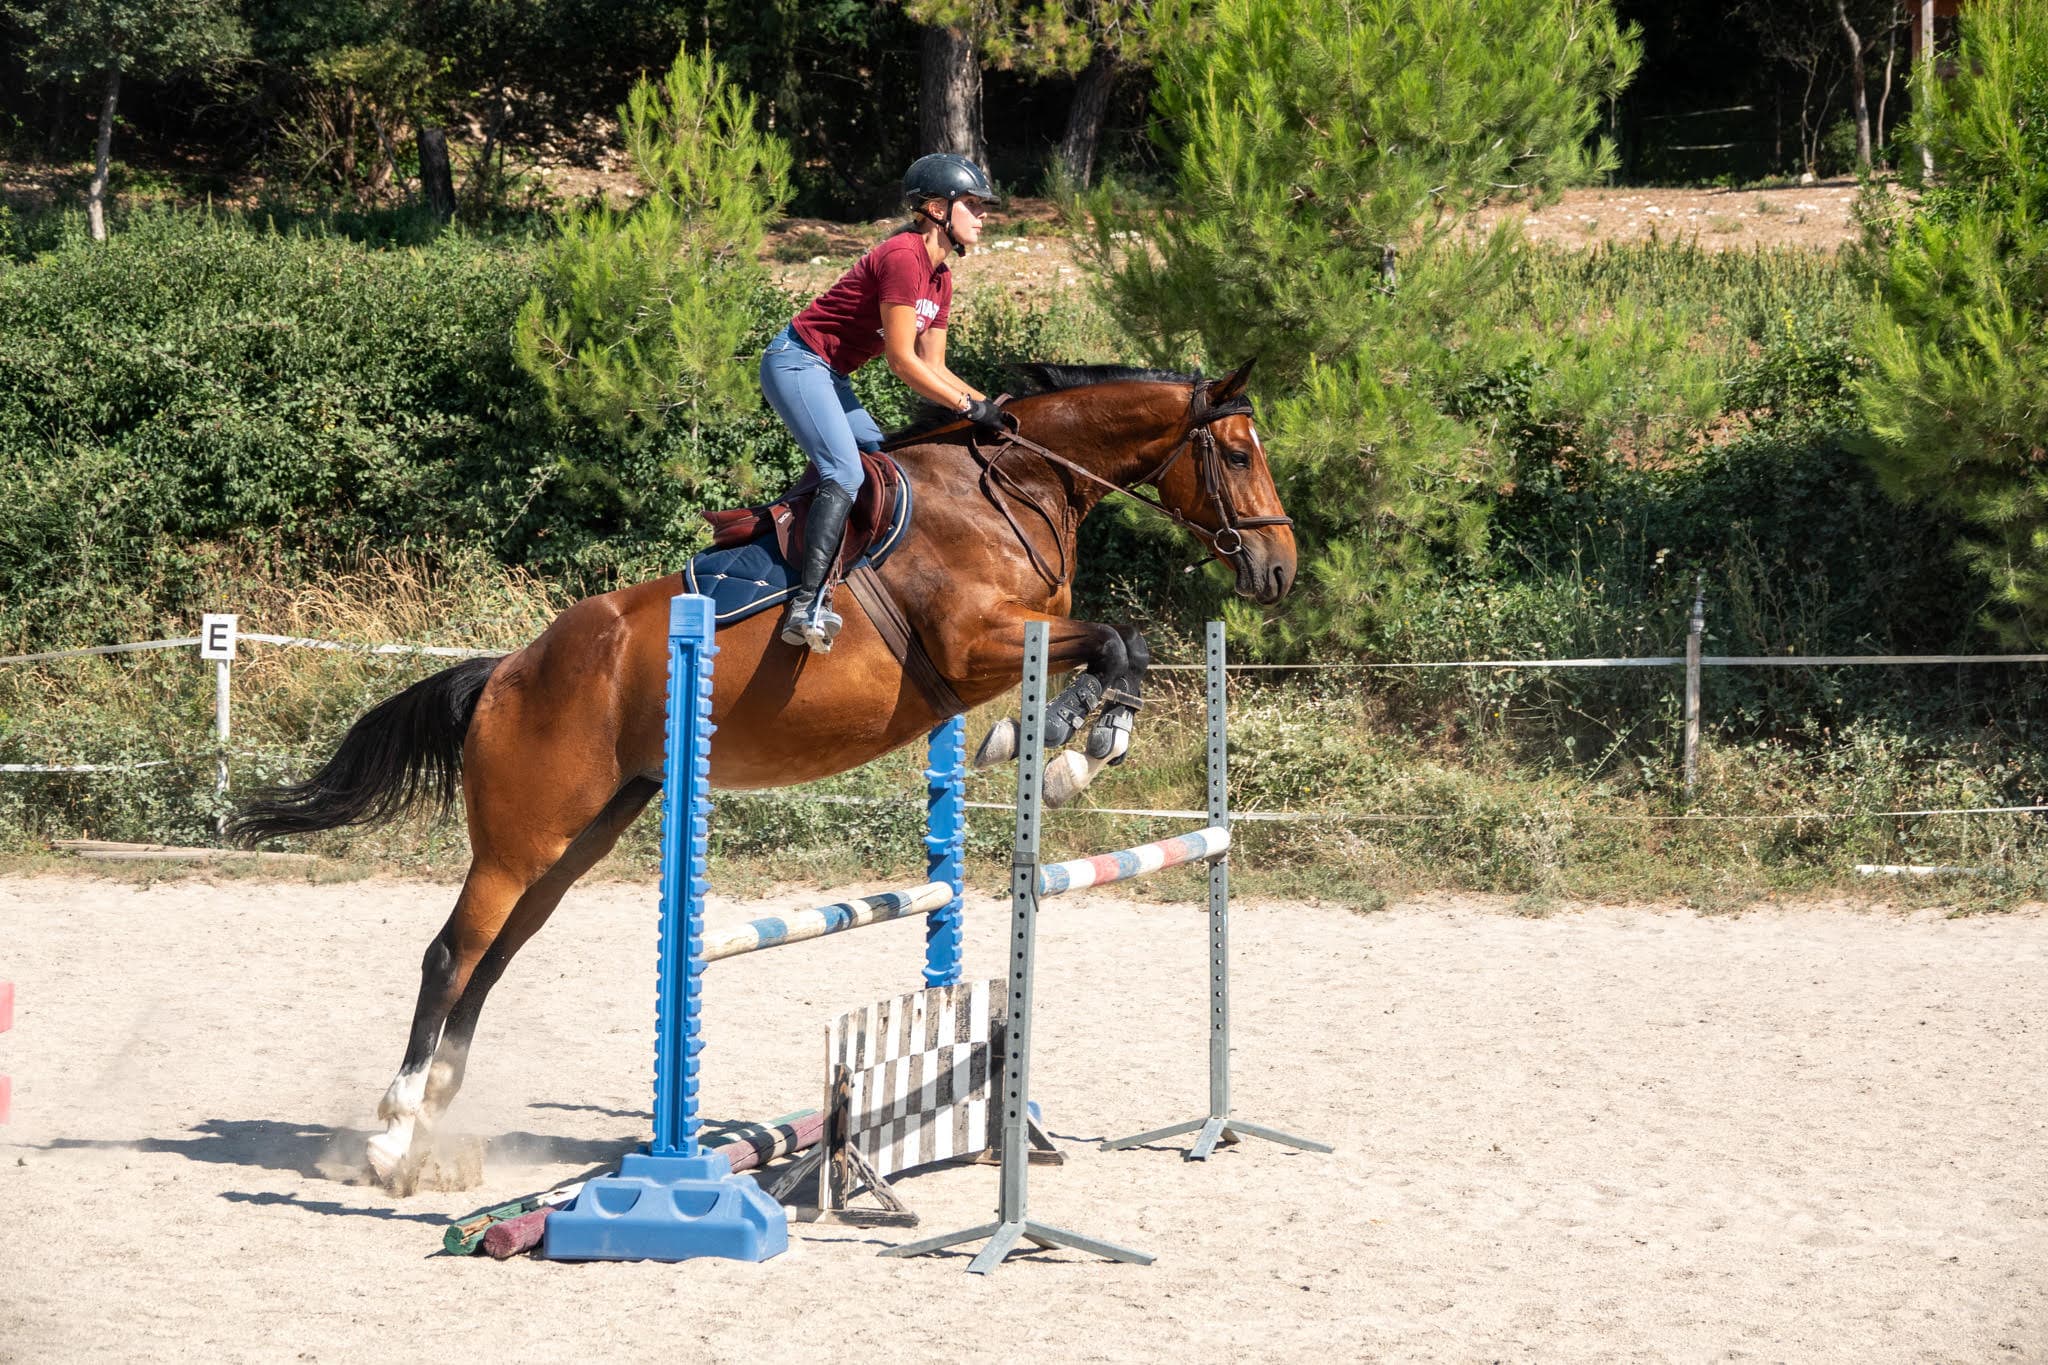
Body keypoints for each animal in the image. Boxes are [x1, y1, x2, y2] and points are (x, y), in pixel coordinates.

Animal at [224, 360, 1294, 1186]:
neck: (1013, 485)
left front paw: (1082, 739)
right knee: (450, 956)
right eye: (1239, 454)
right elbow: (1115, 635)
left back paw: (435, 1110)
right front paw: (1069, 742)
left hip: (579, 839)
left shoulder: (1008, 644)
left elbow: (1125, 641)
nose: (1279, 570)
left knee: (493, 960)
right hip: (520, 839)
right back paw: (391, 1134)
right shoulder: (977, 643)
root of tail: (505, 671)